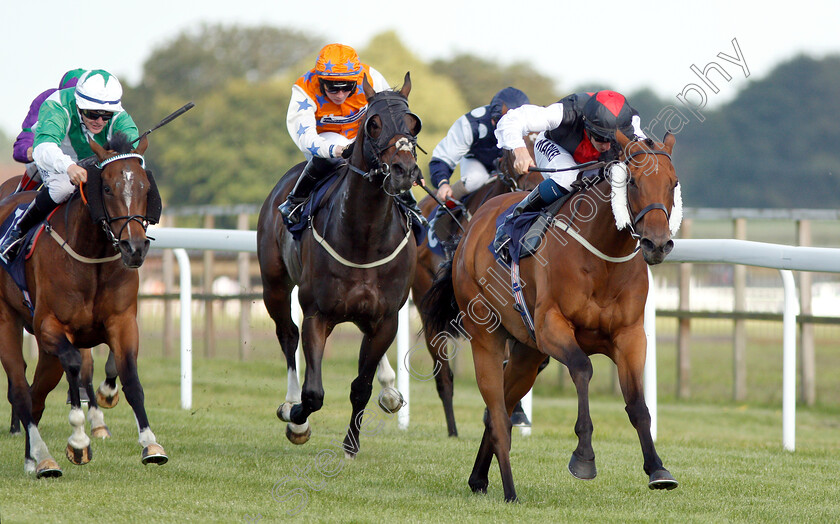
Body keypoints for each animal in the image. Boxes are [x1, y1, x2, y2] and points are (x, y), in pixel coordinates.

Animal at [0, 133, 167, 476]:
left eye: (145, 187)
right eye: (107, 188)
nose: (134, 248)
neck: (91, 255)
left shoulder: (122, 321)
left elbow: (129, 375)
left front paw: (150, 444)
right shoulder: (50, 326)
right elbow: (76, 366)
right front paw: (78, 441)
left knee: (37, 394)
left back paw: (32, 458)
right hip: (7, 321)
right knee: (21, 390)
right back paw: (43, 457)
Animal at [256, 71, 424, 456]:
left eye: (413, 123)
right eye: (373, 124)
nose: (403, 171)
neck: (364, 239)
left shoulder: (386, 317)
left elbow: (361, 385)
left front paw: (351, 445)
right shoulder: (317, 313)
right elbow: (314, 393)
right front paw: (297, 420)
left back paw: (390, 390)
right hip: (274, 285)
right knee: (287, 335)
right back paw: (290, 404)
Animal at [410, 133, 540, 436]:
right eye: (511, 153)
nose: (533, 185)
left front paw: (516, 412)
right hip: (427, 309)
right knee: (444, 375)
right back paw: (452, 430)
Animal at [426, 130, 684, 500]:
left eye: (673, 183)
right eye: (632, 182)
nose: (658, 243)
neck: (603, 258)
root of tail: (472, 225)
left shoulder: (630, 336)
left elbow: (637, 403)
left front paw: (657, 468)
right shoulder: (552, 327)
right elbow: (583, 368)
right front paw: (584, 456)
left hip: (527, 353)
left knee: (501, 410)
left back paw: (478, 478)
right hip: (487, 336)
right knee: (498, 414)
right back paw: (510, 490)